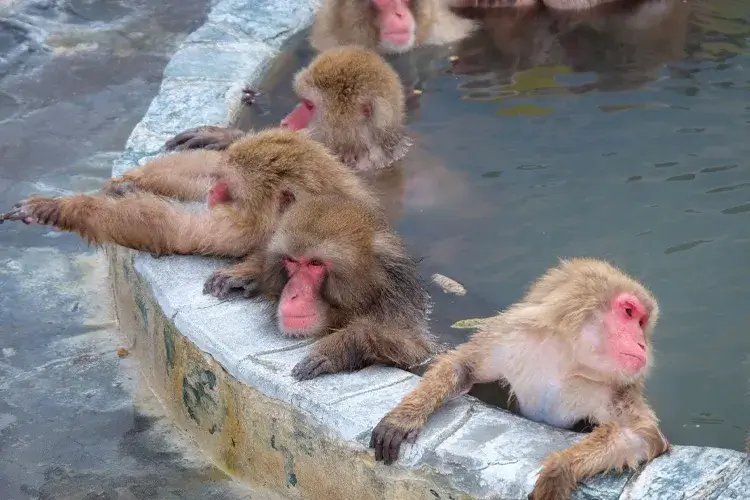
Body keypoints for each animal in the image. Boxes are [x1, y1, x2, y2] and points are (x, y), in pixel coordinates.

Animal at [370, 258, 668, 500]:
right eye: (629, 312)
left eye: (642, 323)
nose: (642, 344)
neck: (566, 359)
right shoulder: (512, 339)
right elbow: (463, 366)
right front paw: (404, 418)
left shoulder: (614, 387)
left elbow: (641, 433)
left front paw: (558, 471)